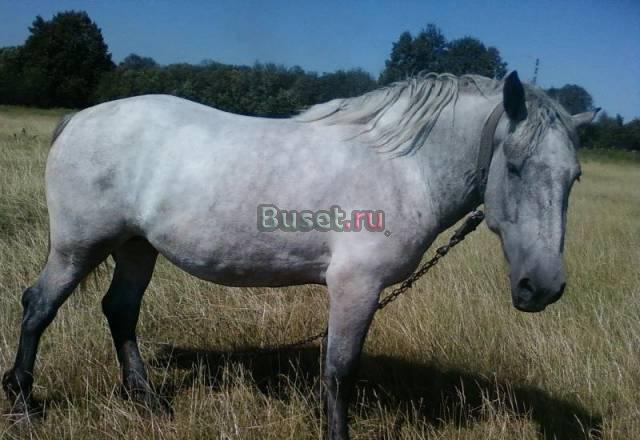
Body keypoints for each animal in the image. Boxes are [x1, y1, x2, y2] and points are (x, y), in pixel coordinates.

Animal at [2, 71, 597, 439]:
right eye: (514, 167)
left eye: (575, 178)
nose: (542, 287)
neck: (404, 167)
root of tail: (80, 118)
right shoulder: (356, 287)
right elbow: (339, 370)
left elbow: (335, 369)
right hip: (79, 246)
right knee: (39, 306)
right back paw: (23, 401)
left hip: (136, 248)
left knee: (120, 311)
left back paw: (148, 401)